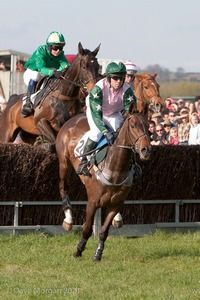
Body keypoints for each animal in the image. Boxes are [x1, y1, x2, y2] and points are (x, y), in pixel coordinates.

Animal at [55, 104, 151, 262]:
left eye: (148, 126)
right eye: (132, 125)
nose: (146, 150)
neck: (114, 168)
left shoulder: (117, 203)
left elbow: (104, 231)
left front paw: (98, 254)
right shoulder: (92, 202)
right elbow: (87, 229)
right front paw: (78, 250)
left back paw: (118, 219)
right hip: (64, 163)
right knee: (63, 187)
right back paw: (68, 219)